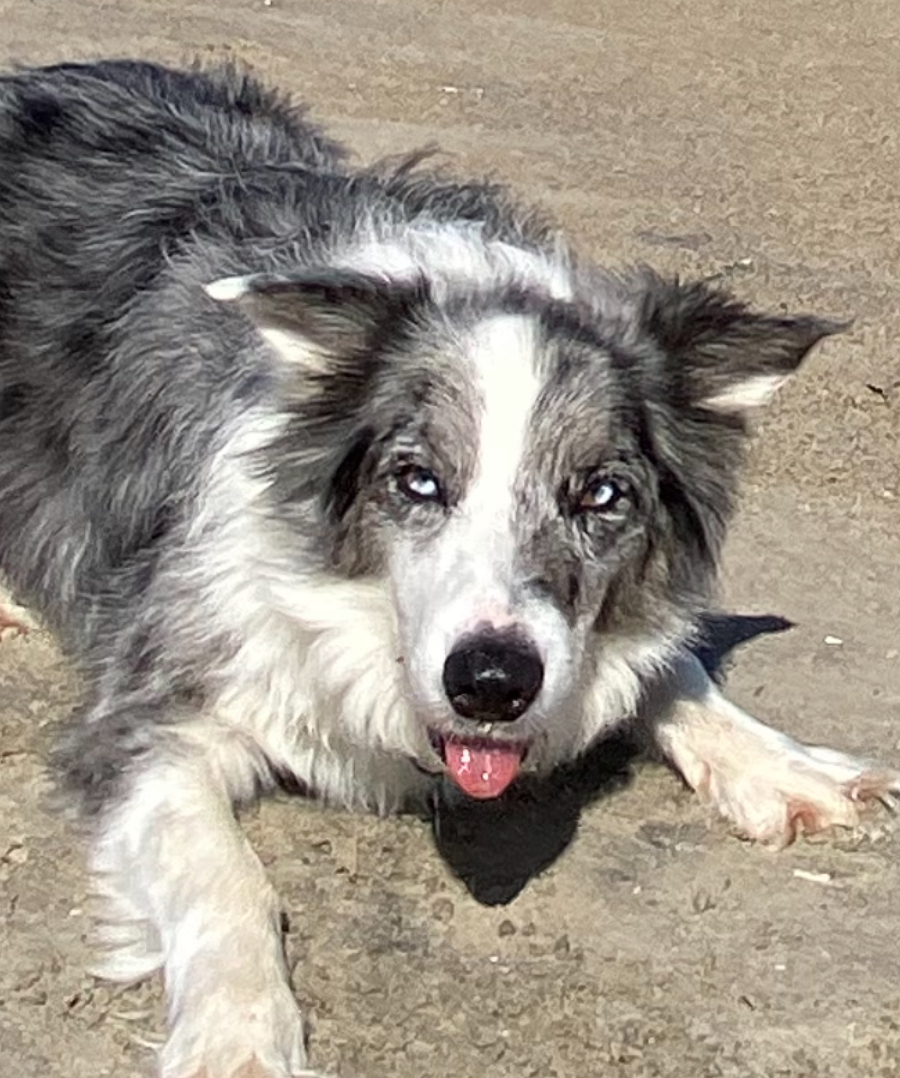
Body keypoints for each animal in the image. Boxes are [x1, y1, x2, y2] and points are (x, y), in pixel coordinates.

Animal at [0, 61, 896, 1078]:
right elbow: (230, 880)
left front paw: (780, 763)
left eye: (602, 496)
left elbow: (669, 662)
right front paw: (241, 1037)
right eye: (417, 480)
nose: (493, 684)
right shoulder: (146, 708)